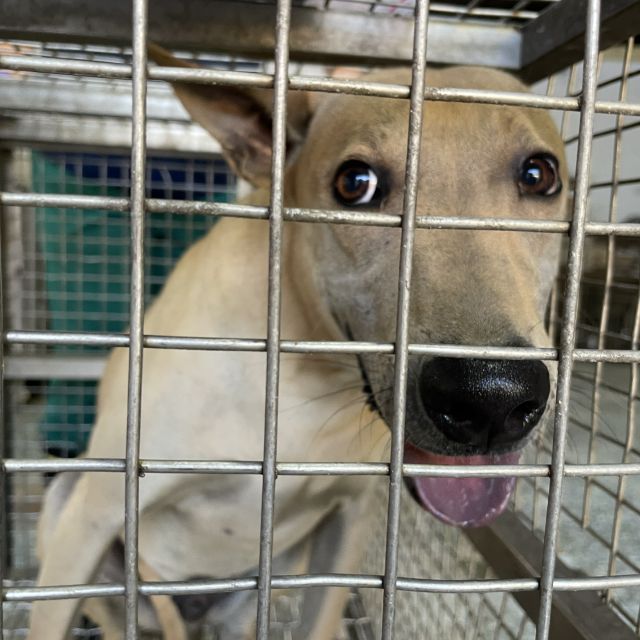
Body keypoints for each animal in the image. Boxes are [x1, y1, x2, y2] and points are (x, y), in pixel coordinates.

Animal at [28, 47, 569, 640]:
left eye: (540, 175)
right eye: (355, 183)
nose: (489, 397)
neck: (301, 379)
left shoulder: (347, 523)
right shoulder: (94, 516)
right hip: (70, 509)